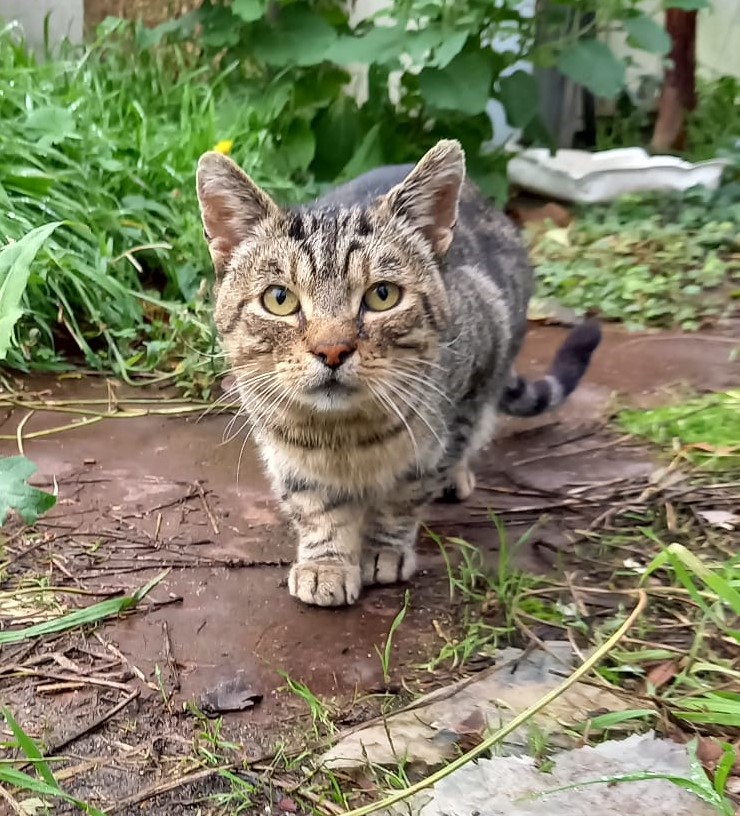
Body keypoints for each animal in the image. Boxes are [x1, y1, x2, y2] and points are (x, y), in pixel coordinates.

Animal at [197, 142, 600, 604]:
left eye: (383, 295)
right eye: (279, 299)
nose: (332, 349)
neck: (343, 437)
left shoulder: (463, 394)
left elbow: (405, 495)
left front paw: (383, 549)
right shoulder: (288, 457)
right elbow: (316, 508)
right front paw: (326, 562)